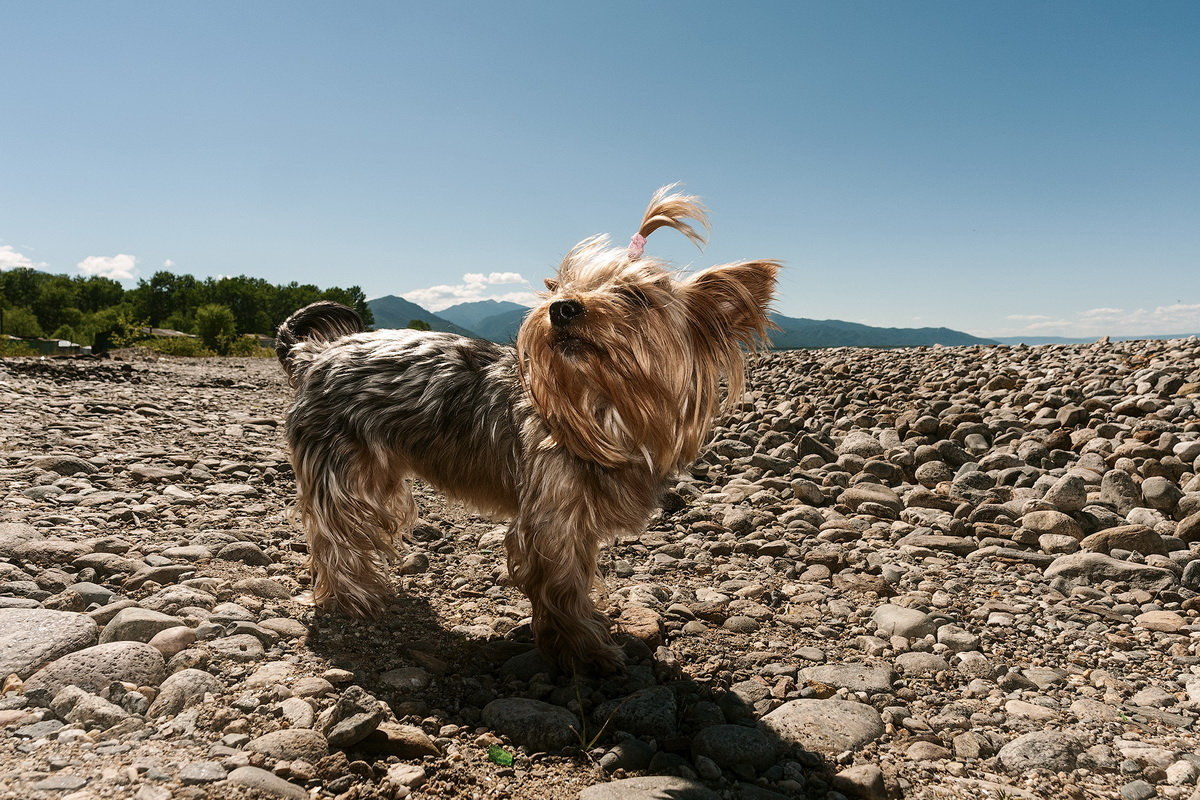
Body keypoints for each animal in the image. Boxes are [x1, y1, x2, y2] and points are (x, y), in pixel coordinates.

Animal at [273, 185, 777, 671]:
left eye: (636, 297)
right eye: (561, 286)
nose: (562, 307)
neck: (601, 407)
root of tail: (315, 355)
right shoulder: (552, 517)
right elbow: (563, 586)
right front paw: (586, 649)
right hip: (341, 464)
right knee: (338, 530)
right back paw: (354, 598)